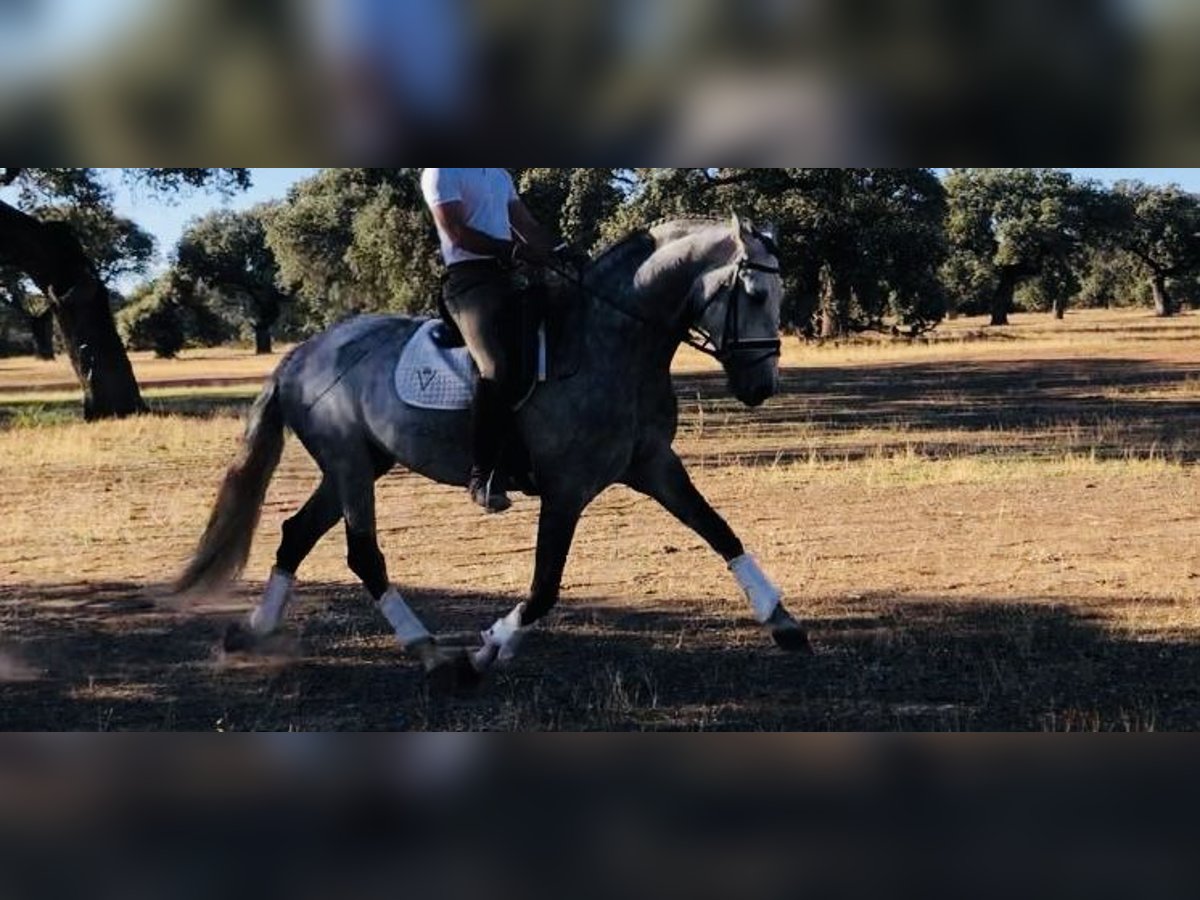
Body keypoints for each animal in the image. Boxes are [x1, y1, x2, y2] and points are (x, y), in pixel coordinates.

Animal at [177, 214, 811, 686]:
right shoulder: (567, 488)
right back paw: (430, 652)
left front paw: (782, 622)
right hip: (350, 466)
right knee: (363, 555)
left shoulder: (654, 465)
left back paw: (254, 632)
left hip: (355, 466)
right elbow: (545, 585)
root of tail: (302, 354)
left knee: (297, 535)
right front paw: (488, 649)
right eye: (755, 292)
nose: (761, 387)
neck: (612, 343)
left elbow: (721, 531)